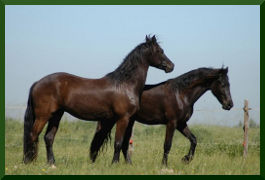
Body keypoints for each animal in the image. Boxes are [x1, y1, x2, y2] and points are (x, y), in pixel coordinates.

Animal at [23, 34, 174, 165]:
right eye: (160, 51)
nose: (171, 66)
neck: (125, 84)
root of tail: (37, 83)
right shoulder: (123, 118)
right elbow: (118, 143)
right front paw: (114, 164)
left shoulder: (123, 119)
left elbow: (121, 143)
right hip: (43, 116)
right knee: (33, 135)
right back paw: (29, 162)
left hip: (56, 115)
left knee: (48, 138)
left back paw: (51, 163)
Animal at [92, 67, 232, 165]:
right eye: (222, 83)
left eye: (228, 84)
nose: (229, 104)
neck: (181, 94)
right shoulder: (172, 123)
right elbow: (167, 144)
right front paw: (164, 164)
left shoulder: (181, 124)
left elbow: (193, 139)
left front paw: (186, 159)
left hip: (129, 121)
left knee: (124, 142)